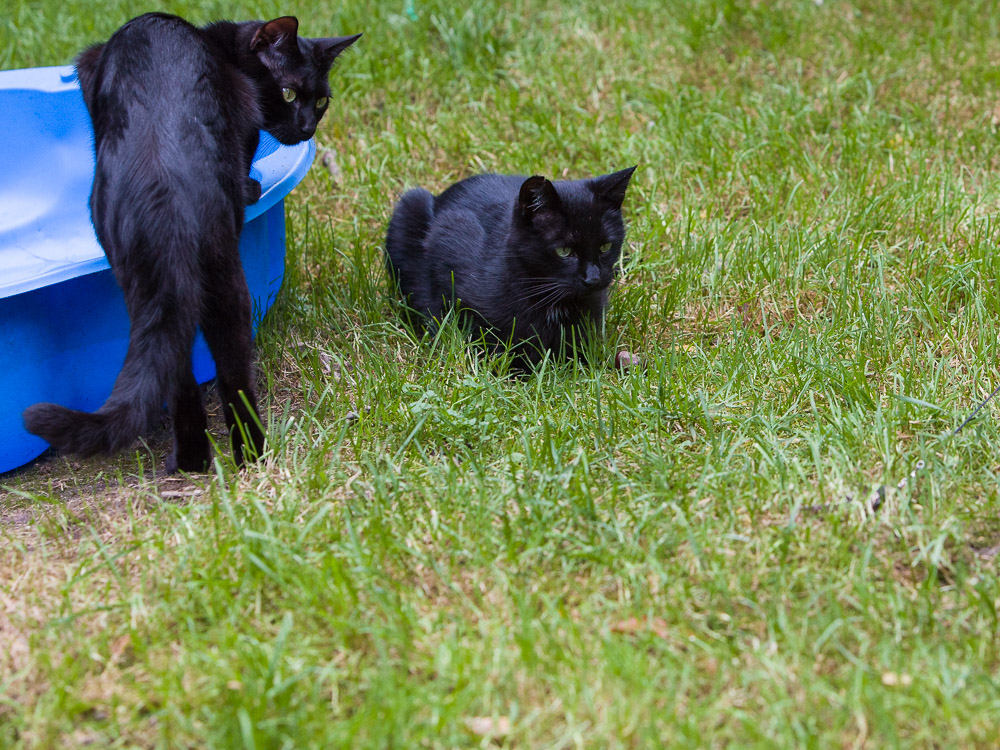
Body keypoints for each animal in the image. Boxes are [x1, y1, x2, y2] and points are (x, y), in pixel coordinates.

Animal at [23, 13, 362, 470]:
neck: (222, 45)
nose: (308, 126)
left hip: (140, 274)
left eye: (321, 101)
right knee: (226, 371)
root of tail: (166, 192)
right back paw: (244, 455)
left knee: (181, 371)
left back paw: (196, 459)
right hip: (218, 274)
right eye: (290, 93)